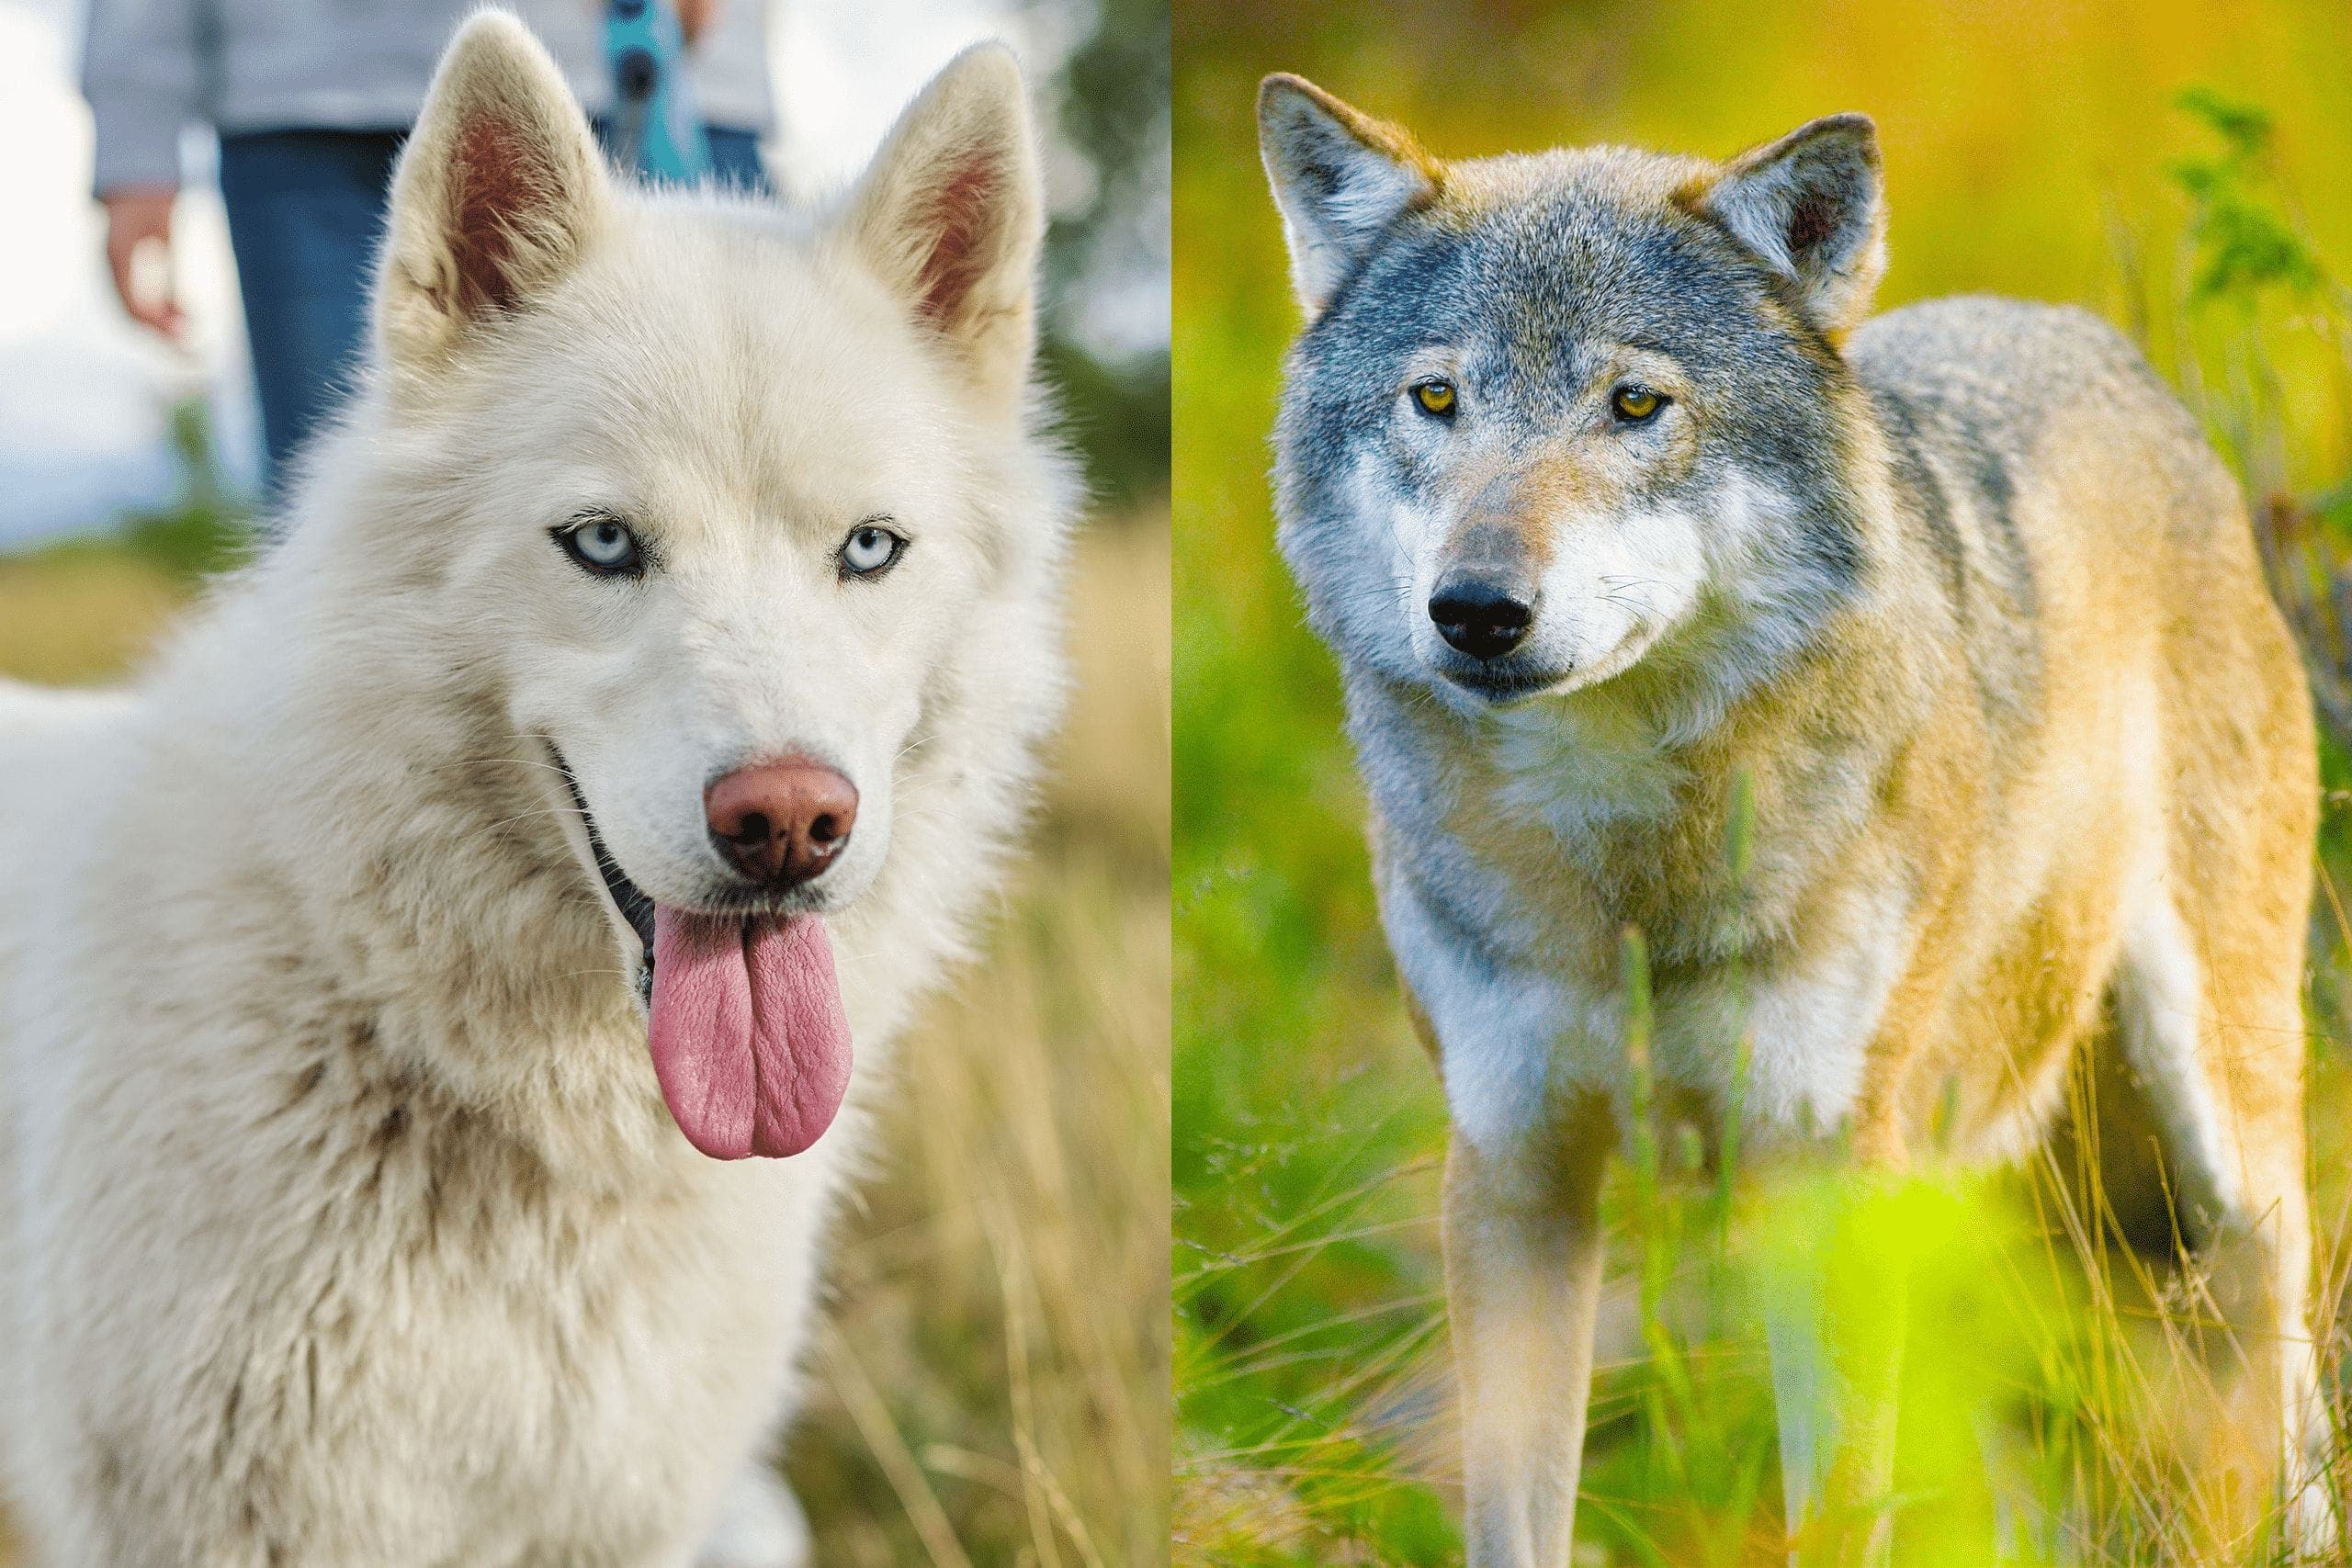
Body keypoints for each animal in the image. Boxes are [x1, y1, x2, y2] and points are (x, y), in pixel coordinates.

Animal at [1259, 75, 2325, 1565]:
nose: (1474, 609)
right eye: (1436, 397)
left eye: (1635, 402)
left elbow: (1833, 1505)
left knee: (2285, 1337)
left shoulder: (1827, 1185)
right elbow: (1520, 1515)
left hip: (2217, 1118)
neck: (1628, 877)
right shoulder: (1516, 1172)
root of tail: (2103, 346)